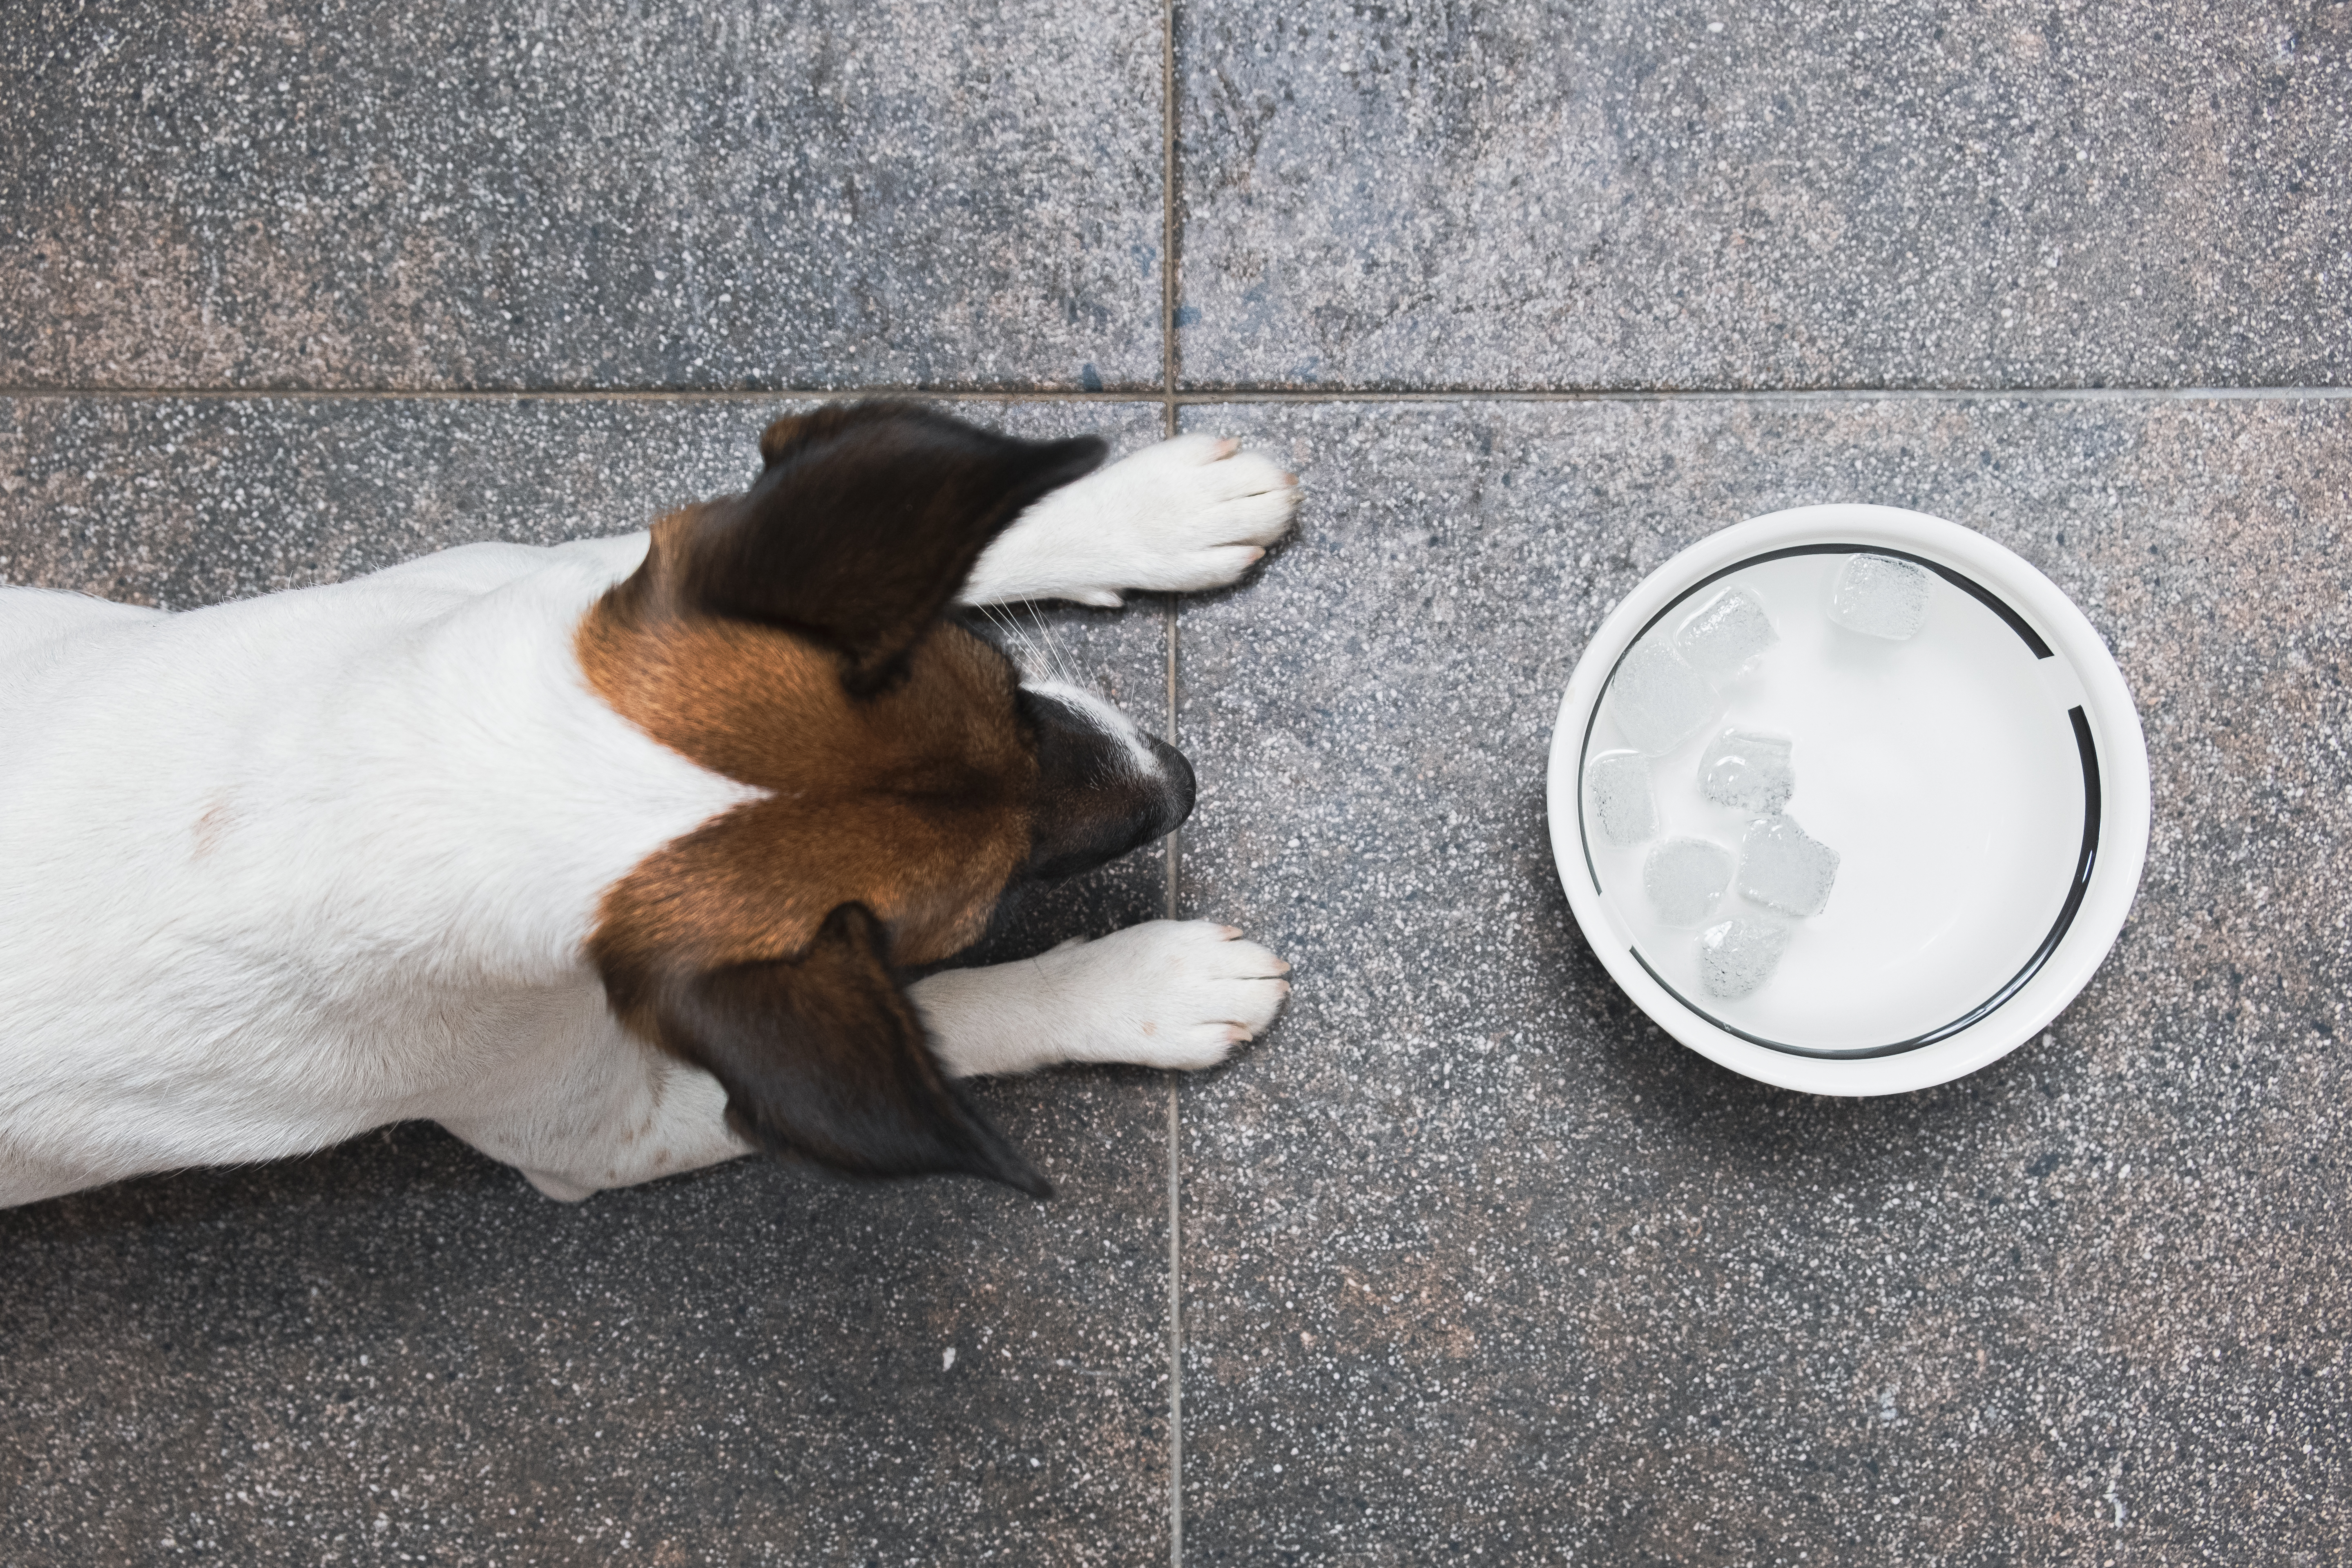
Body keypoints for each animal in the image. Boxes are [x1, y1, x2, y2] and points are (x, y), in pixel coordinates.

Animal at [0, 402, 1298, 1203]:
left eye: (1005, 687)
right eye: (1001, 895)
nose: (1180, 781)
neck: (413, 782)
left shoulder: (557, 586)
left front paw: (1149, 507)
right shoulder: (621, 1127)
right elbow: (961, 1017)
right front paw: (1147, 985)